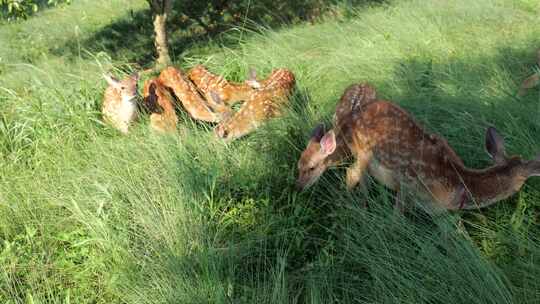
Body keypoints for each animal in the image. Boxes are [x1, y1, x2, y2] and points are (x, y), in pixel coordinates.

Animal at [298, 83, 536, 214]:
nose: (297, 188)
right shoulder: (408, 184)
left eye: (310, 168)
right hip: (365, 152)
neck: (460, 182)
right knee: (354, 174)